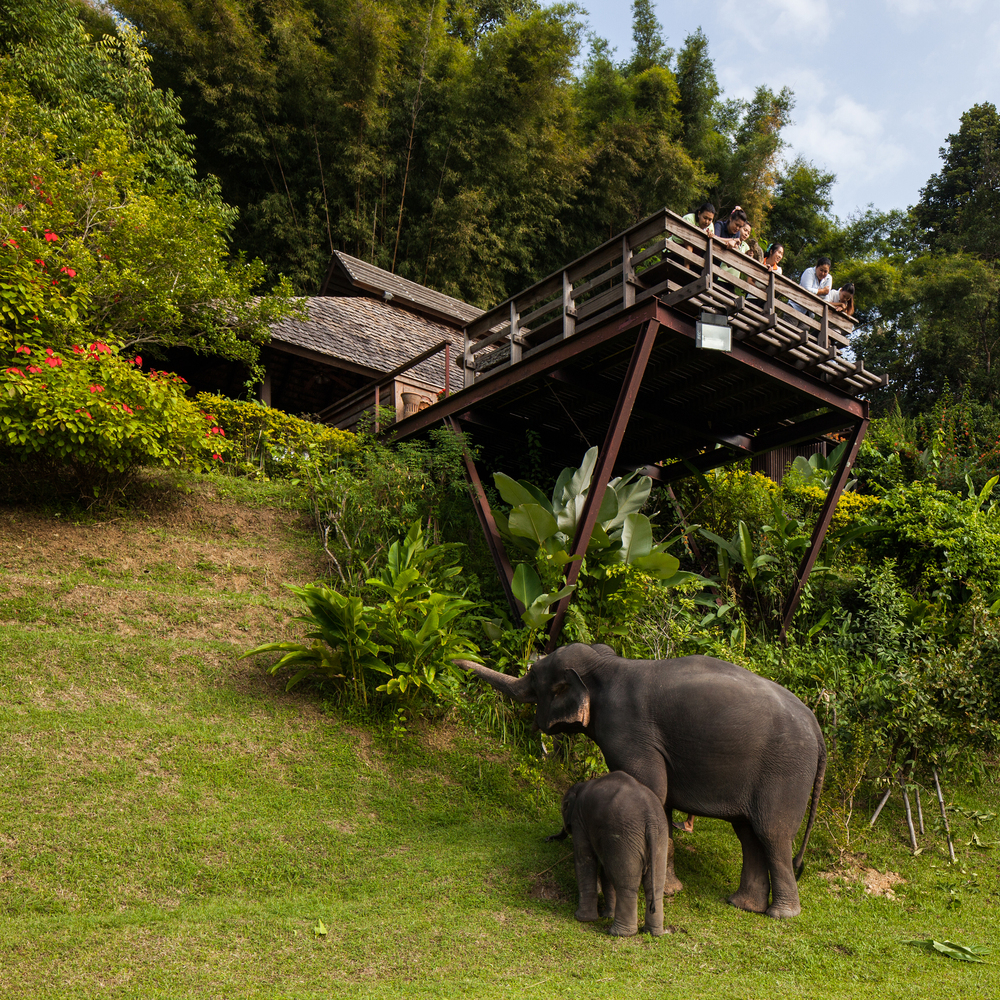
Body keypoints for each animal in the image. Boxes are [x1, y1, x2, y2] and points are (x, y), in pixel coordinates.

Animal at [458, 644, 824, 916]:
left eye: (534, 677)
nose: (454, 661)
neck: (606, 665)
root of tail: (817, 727)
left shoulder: (628, 734)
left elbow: (651, 789)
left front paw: (665, 891)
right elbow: (661, 800)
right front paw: (673, 889)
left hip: (786, 771)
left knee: (771, 833)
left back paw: (781, 914)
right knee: (748, 833)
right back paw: (743, 905)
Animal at [552, 772, 668, 936]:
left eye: (563, 807)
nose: (548, 839)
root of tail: (650, 820)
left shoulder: (579, 819)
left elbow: (585, 858)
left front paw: (583, 918)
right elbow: (605, 869)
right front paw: (607, 915)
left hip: (625, 837)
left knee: (626, 884)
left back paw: (620, 933)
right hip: (659, 839)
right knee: (655, 886)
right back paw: (652, 932)